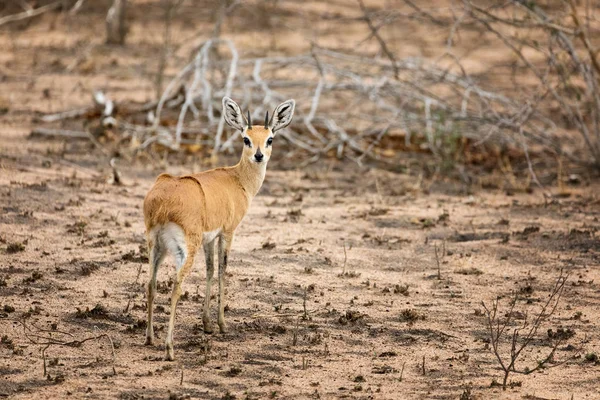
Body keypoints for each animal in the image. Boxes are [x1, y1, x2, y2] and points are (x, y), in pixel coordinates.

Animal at [144, 96, 296, 360]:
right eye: (246, 138)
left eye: (270, 138)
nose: (259, 156)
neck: (237, 180)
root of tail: (163, 200)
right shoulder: (228, 231)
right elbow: (224, 270)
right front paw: (222, 324)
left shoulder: (209, 238)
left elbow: (210, 269)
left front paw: (206, 324)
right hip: (185, 249)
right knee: (175, 286)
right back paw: (169, 349)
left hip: (156, 246)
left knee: (151, 285)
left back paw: (150, 338)